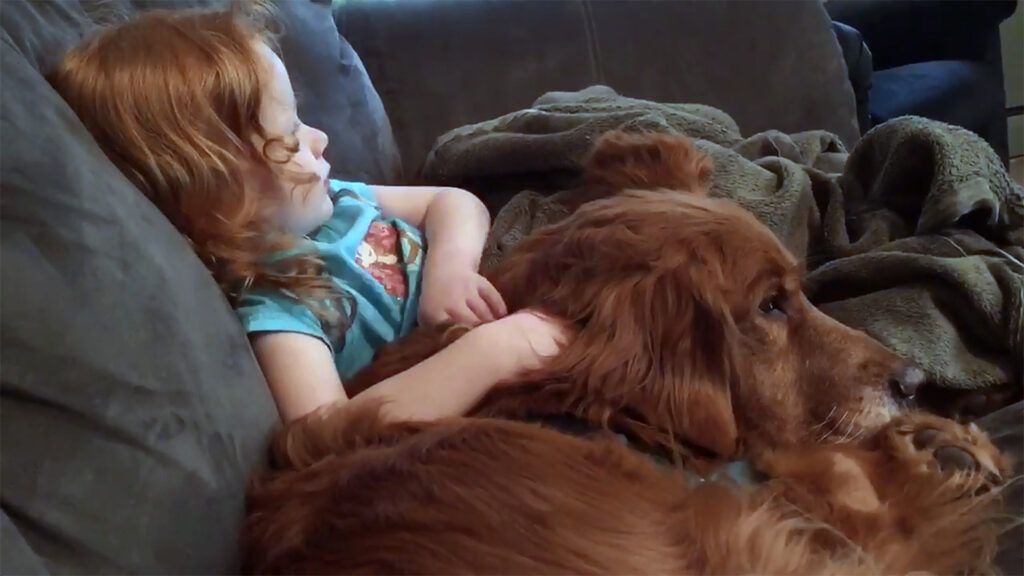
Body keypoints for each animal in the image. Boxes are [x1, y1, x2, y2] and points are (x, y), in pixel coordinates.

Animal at [245, 131, 1007, 573]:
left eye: (800, 287)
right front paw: (938, 447)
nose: (913, 379)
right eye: (770, 306)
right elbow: (863, 487)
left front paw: (941, 436)